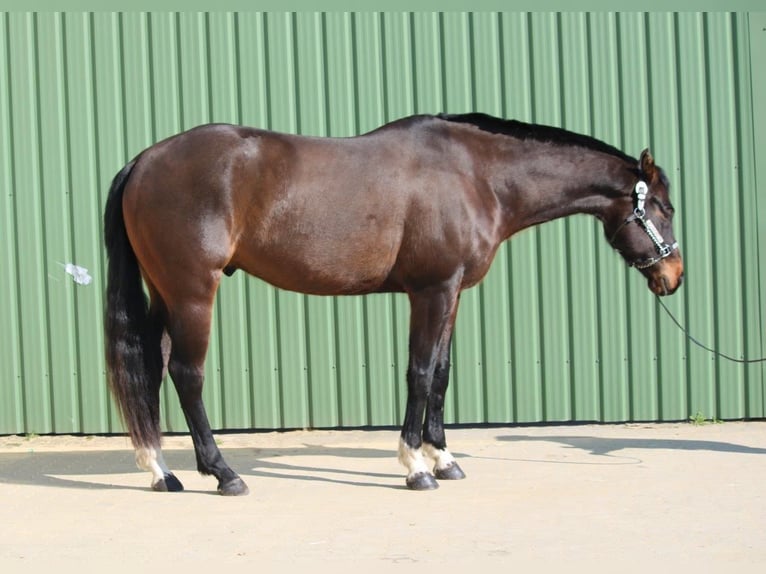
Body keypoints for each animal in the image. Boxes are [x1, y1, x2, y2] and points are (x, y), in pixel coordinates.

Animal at [103, 112, 683, 495]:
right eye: (663, 207)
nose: (673, 276)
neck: (477, 175)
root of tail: (143, 160)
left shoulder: (451, 294)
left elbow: (442, 374)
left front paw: (445, 458)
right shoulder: (432, 290)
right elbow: (420, 373)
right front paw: (416, 467)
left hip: (166, 292)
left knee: (150, 370)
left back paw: (162, 471)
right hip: (193, 292)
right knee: (186, 374)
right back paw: (223, 473)